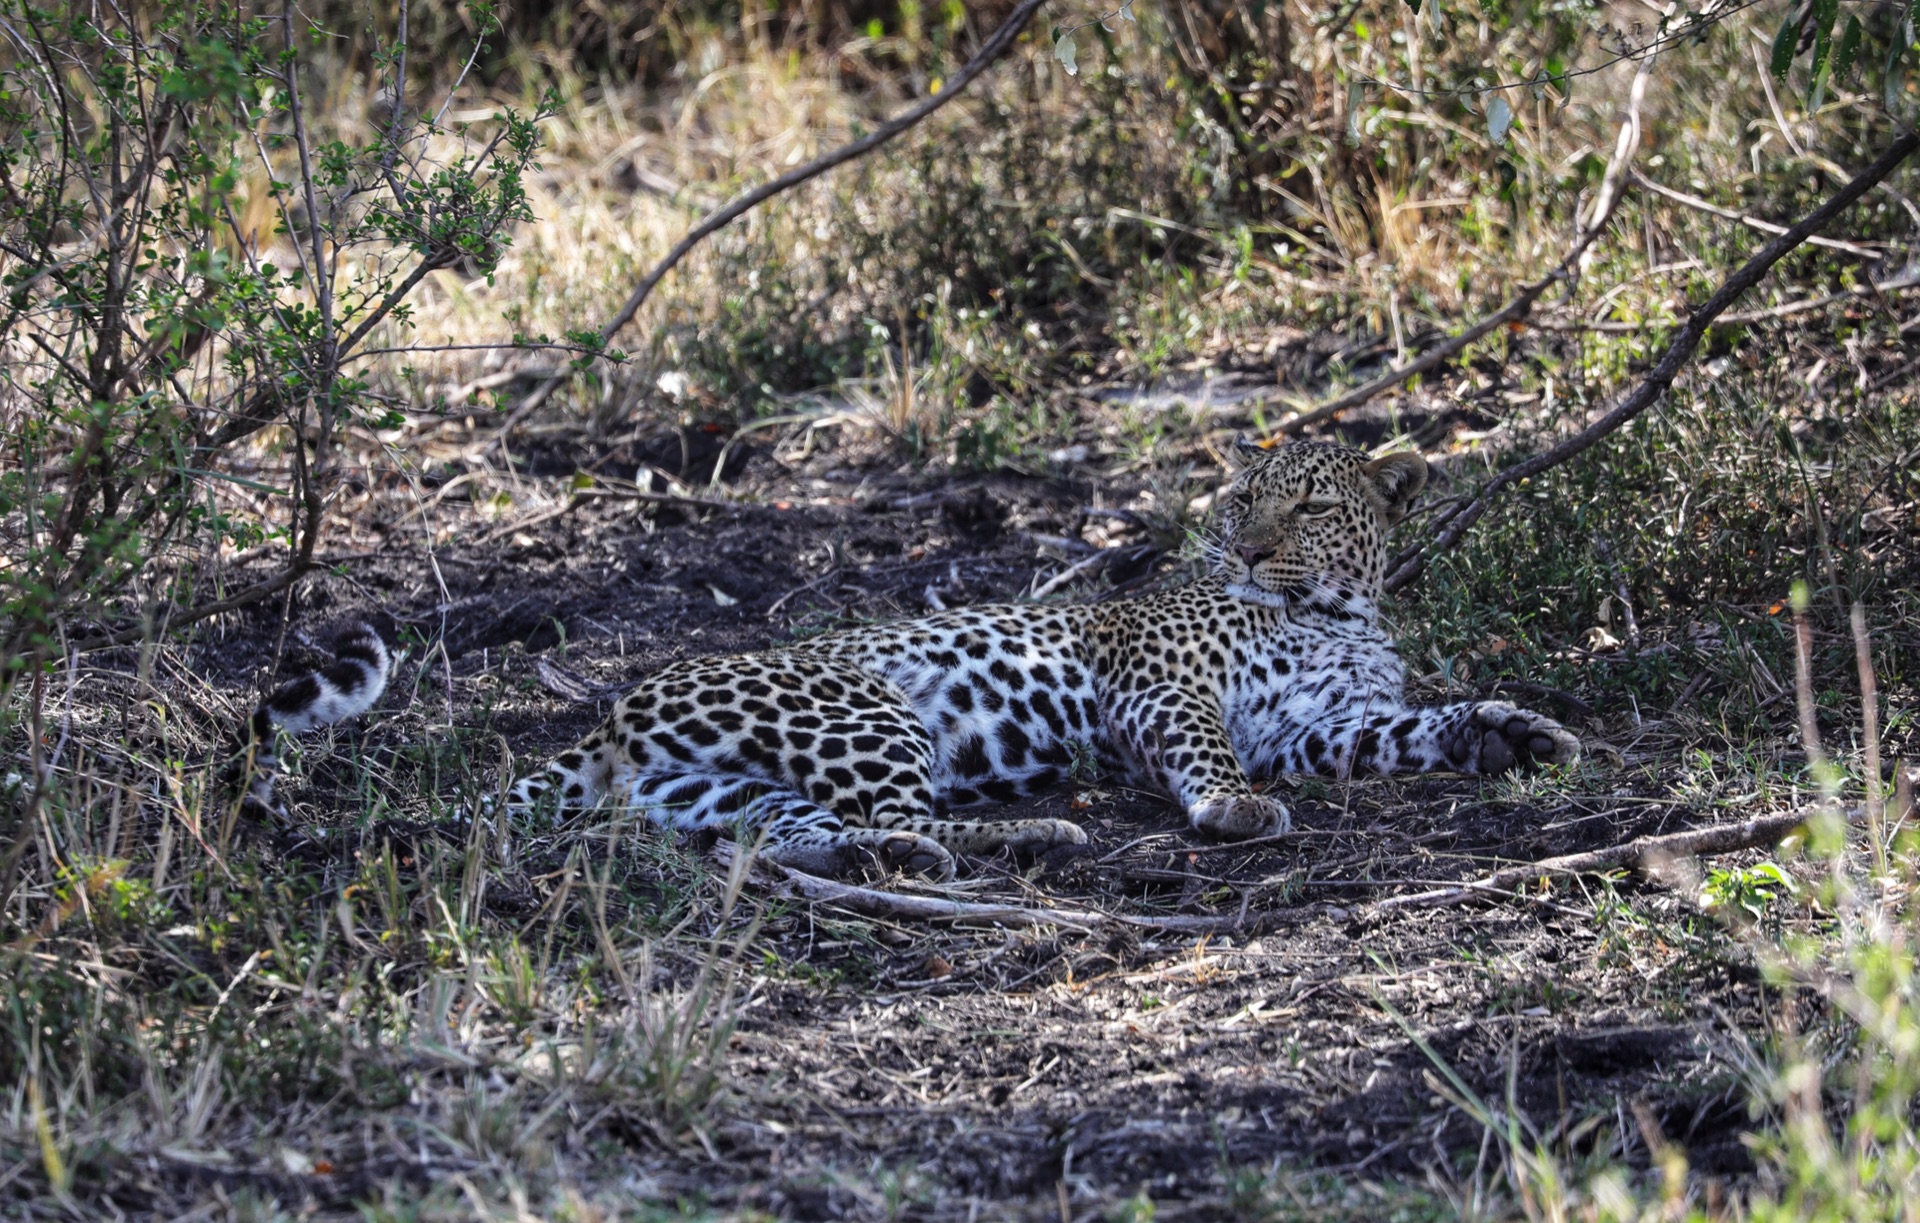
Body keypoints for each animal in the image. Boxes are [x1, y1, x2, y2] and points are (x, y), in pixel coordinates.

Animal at [487, 439, 1582, 879]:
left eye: (1311, 504)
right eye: (1242, 499)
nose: (1249, 549)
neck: (1334, 612)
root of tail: (613, 714)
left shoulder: (1318, 730)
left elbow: (1413, 725)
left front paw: (1509, 731)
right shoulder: (1160, 678)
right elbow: (1205, 744)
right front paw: (1232, 807)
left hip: (718, 789)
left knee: (792, 834)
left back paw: (911, 855)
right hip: (868, 707)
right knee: (903, 811)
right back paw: (1036, 832)